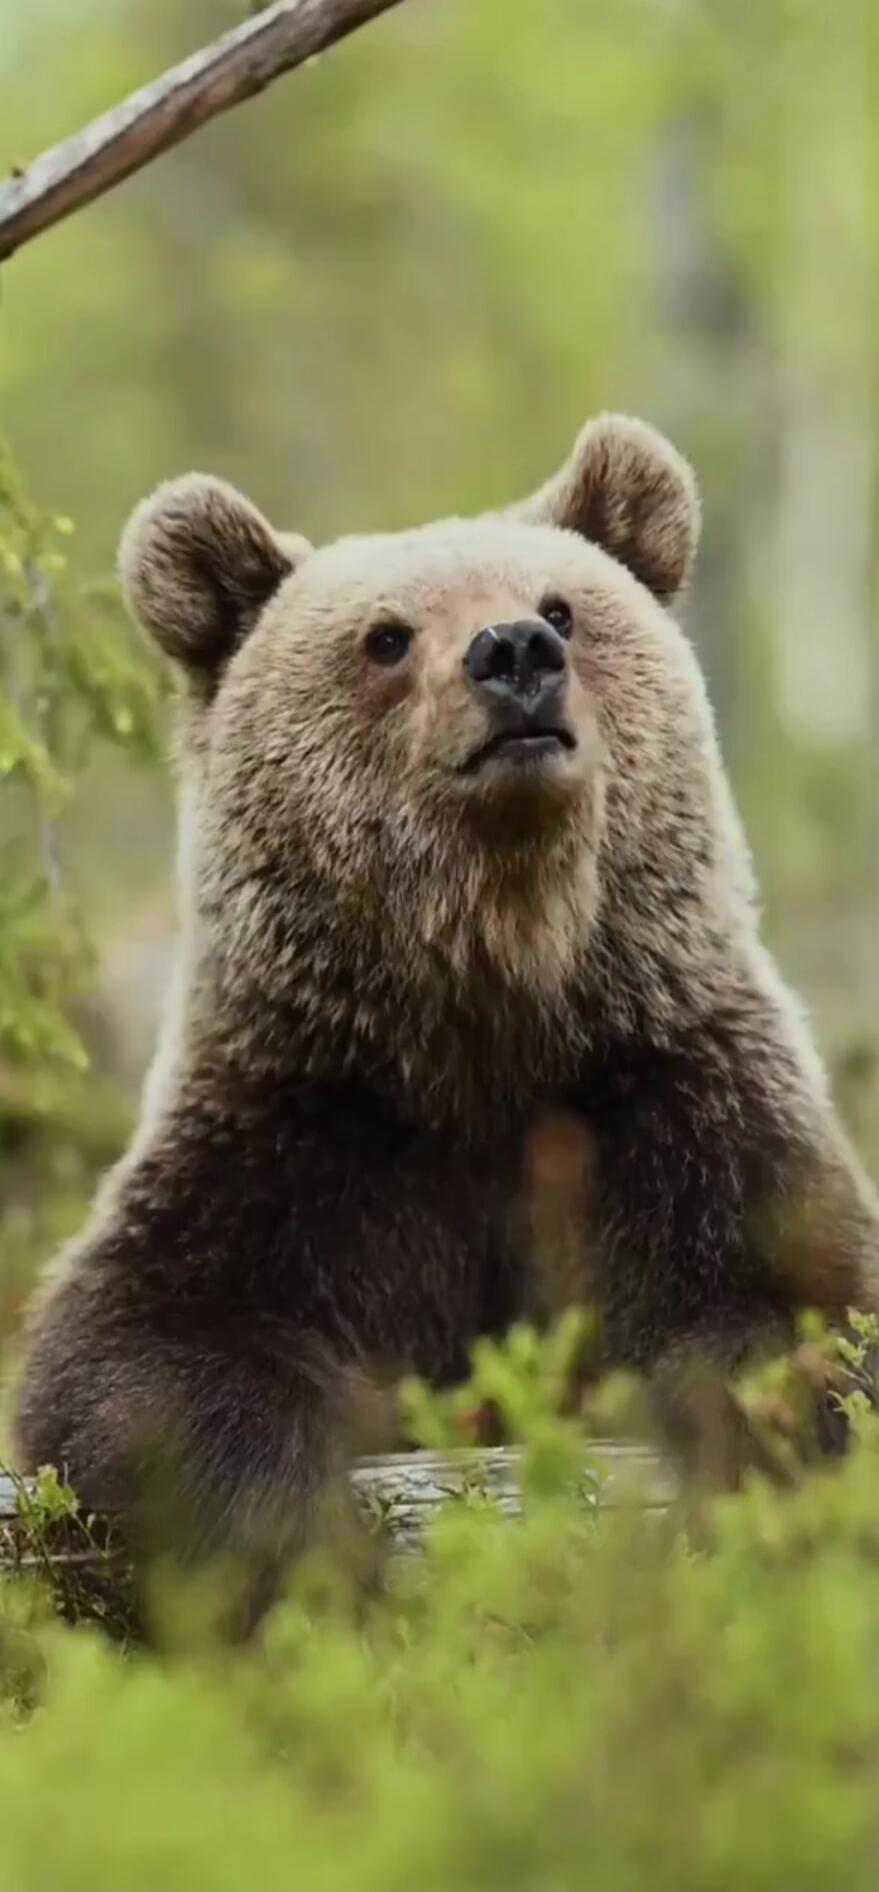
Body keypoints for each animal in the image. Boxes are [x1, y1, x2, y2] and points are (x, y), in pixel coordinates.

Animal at [12, 413, 879, 1583]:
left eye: (562, 605)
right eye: (385, 636)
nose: (514, 652)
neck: (486, 1008)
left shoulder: (673, 1100)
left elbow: (805, 1298)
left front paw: (763, 1438)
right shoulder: (305, 1136)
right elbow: (143, 1345)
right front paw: (296, 1530)